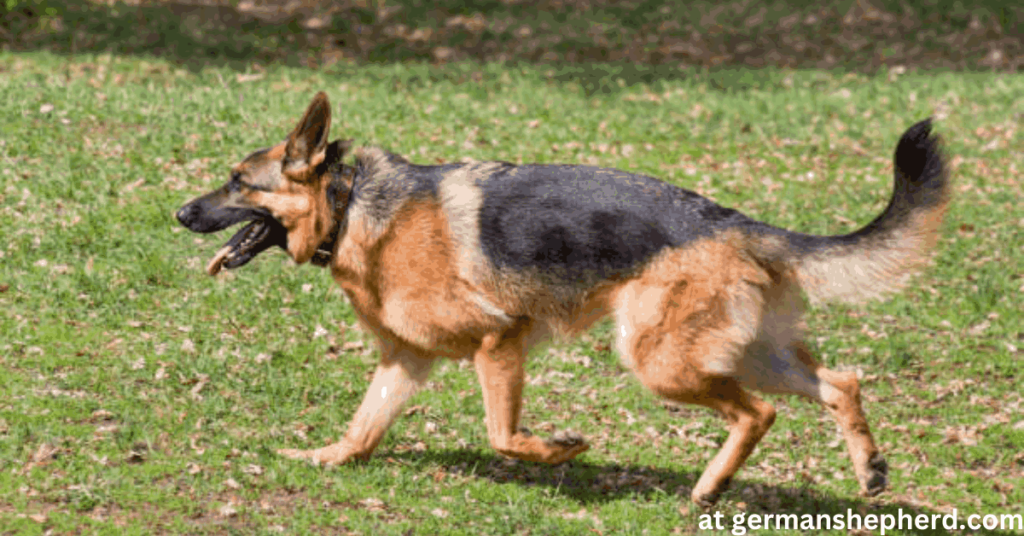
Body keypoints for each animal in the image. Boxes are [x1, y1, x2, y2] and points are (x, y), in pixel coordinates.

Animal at [176, 92, 950, 508]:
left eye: (238, 181)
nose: (180, 213)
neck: (352, 205)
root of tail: (738, 222)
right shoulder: (405, 363)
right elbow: (363, 428)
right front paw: (324, 458)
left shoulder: (499, 340)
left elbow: (503, 435)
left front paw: (558, 451)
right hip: (744, 353)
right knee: (840, 383)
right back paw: (869, 471)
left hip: (658, 360)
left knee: (757, 413)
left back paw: (707, 488)